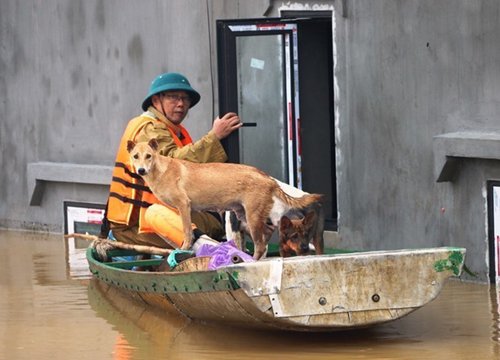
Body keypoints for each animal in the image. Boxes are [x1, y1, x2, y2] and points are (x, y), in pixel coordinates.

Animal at [127, 138, 324, 258]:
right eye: (135, 156)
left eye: (148, 156)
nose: (141, 170)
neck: (161, 170)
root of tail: (268, 178)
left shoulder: (184, 206)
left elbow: (187, 231)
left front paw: (184, 249)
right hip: (244, 216)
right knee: (265, 238)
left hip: (252, 217)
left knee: (260, 245)